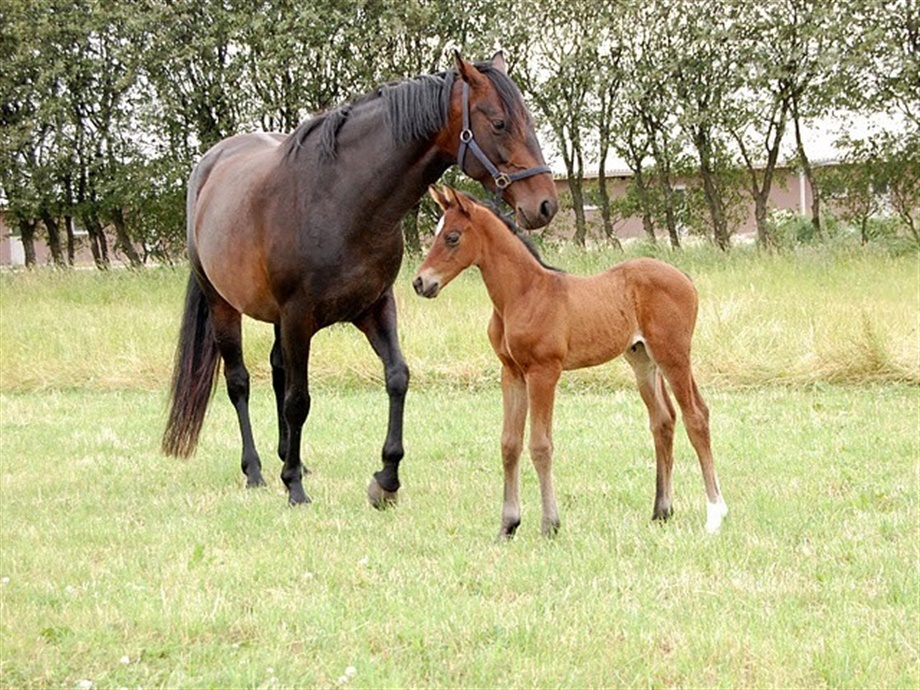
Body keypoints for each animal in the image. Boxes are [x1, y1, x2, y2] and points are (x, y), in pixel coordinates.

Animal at [161, 52, 558, 508]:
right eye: (498, 123)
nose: (545, 204)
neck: (341, 198)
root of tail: (208, 168)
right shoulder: (298, 317)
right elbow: (299, 399)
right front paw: (294, 487)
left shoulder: (375, 306)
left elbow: (397, 378)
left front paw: (386, 478)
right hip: (224, 306)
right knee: (239, 382)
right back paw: (257, 469)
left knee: (277, 370)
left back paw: (289, 457)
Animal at [413, 186, 728, 536]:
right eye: (437, 233)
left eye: (452, 237)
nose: (420, 282)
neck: (523, 294)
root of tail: (684, 277)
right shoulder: (511, 373)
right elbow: (509, 444)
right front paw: (508, 525)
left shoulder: (543, 372)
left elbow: (540, 445)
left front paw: (550, 524)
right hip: (643, 360)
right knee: (663, 420)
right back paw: (662, 510)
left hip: (673, 356)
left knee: (696, 416)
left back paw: (715, 514)